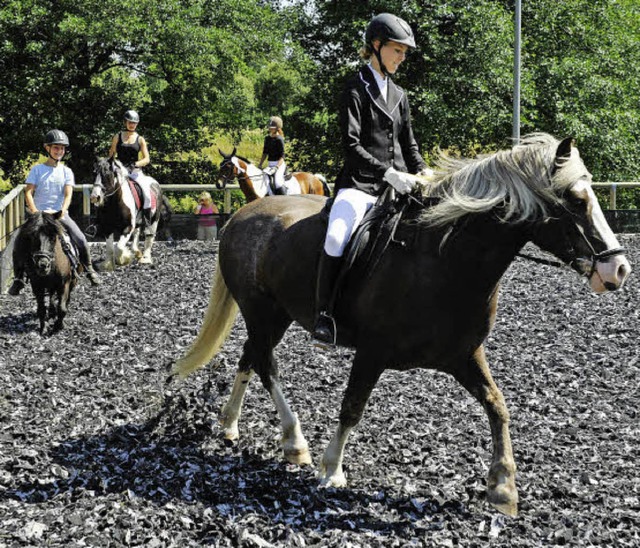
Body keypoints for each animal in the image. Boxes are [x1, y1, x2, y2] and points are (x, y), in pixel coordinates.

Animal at [174, 134, 632, 520]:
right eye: (575, 200)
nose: (619, 270)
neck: (445, 261)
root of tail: (243, 215)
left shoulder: (464, 355)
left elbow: (497, 405)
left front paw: (503, 487)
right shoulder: (372, 352)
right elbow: (352, 406)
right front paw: (331, 469)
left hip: (275, 314)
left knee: (251, 356)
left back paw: (231, 424)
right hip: (260, 310)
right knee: (266, 364)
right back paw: (294, 442)